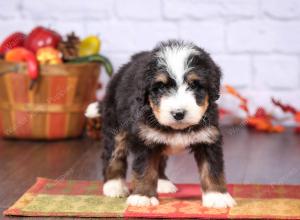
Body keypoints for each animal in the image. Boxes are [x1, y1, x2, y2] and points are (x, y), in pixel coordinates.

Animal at [86, 39, 237, 208]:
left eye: (194, 85)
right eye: (160, 87)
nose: (178, 113)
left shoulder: (208, 138)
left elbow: (212, 169)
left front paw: (217, 196)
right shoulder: (145, 138)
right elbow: (145, 169)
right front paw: (143, 196)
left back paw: (162, 183)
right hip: (116, 127)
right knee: (113, 156)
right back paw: (114, 186)